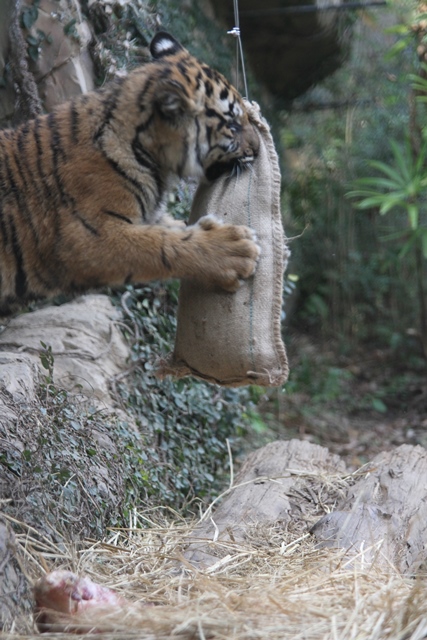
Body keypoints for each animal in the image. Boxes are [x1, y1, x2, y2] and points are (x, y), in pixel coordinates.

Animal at [0, 31, 260, 315]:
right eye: (233, 126)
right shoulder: (88, 238)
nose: (258, 148)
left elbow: (174, 228)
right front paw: (234, 250)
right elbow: (160, 246)